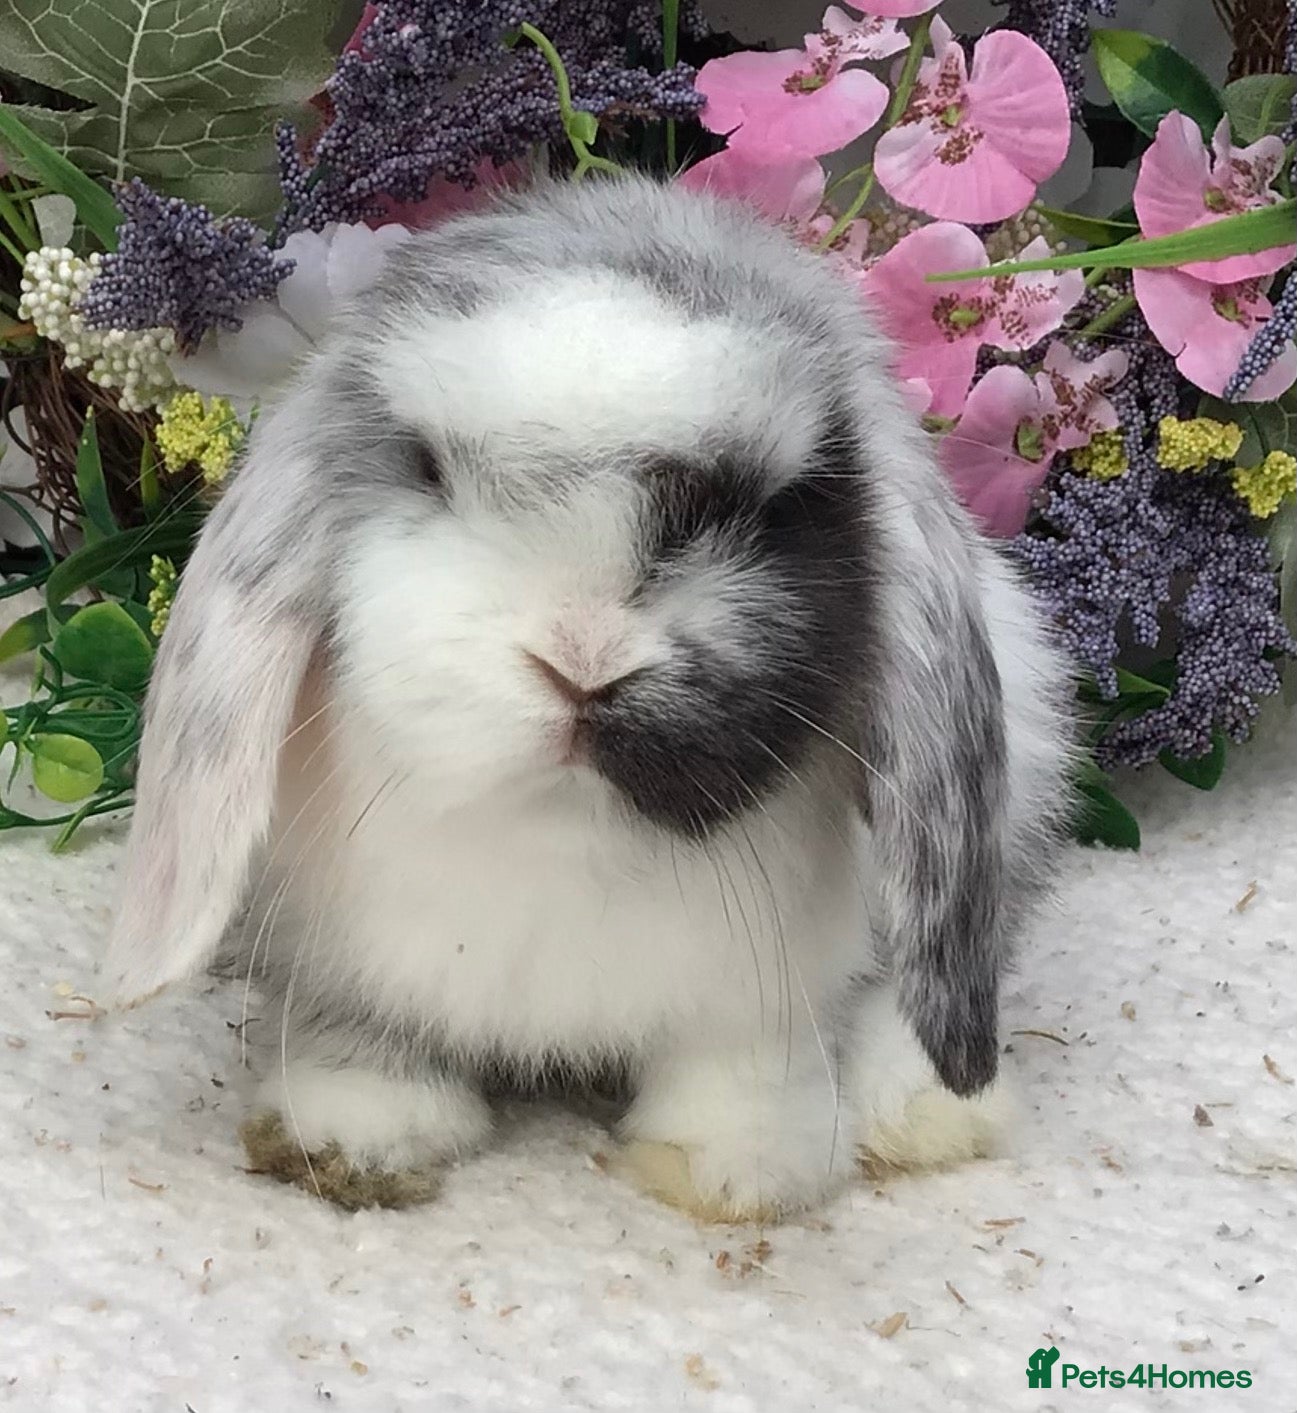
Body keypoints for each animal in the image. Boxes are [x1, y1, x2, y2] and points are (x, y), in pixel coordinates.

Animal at [102, 174, 1075, 1220]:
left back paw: (923, 1114)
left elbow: (742, 1067)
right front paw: (353, 1135)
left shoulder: (756, 996)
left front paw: (733, 1166)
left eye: (767, 509)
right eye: (428, 468)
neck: (563, 836)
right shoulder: (350, 955)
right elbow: (369, 1031)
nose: (583, 658)